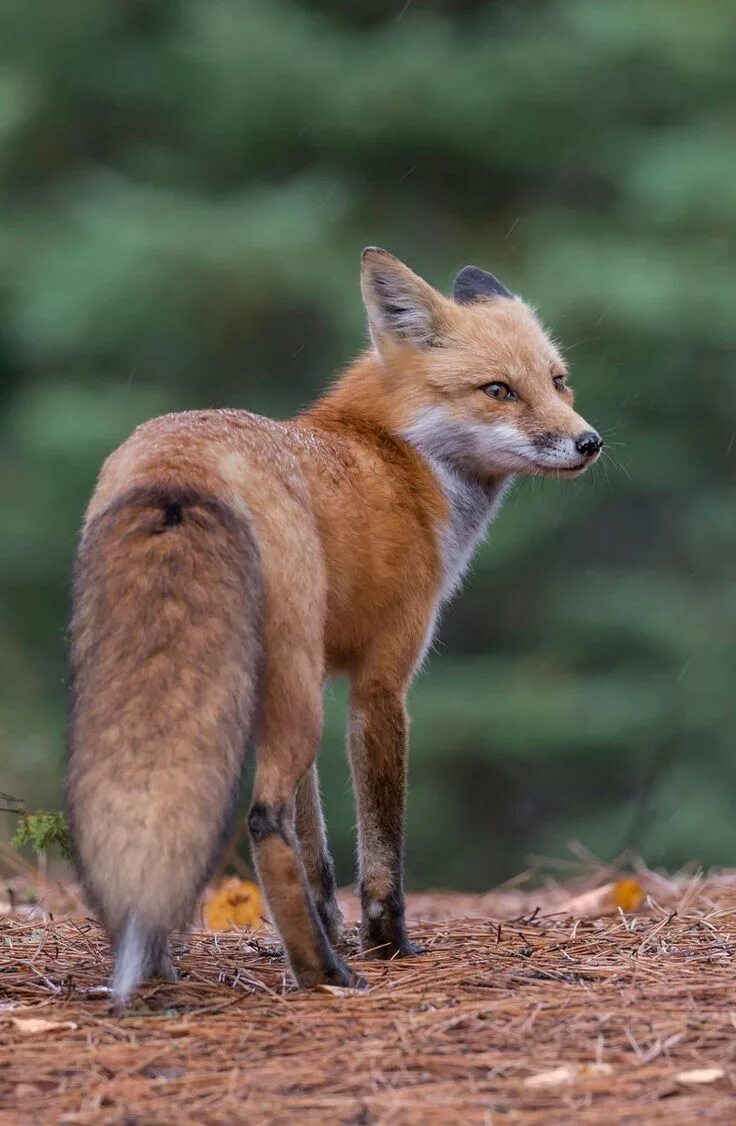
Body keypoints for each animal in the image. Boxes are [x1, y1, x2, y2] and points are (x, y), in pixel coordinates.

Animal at [66, 248, 603, 1004]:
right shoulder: (379, 683)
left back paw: (162, 966)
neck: (400, 460)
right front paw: (387, 944)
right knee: (262, 819)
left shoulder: (319, 678)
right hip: (284, 686)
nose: (589, 442)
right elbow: (379, 845)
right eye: (498, 390)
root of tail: (179, 460)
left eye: (557, 380)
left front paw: (331, 926)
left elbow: (316, 850)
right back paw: (323, 974)